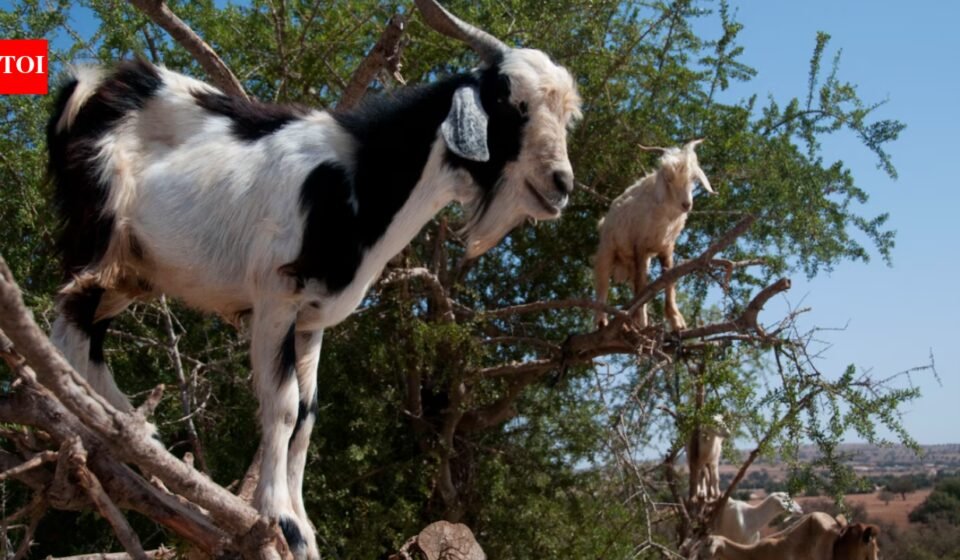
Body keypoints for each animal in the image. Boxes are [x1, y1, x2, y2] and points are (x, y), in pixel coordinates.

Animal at [45, 1, 581, 557]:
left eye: (567, 115)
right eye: (512, 104)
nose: (561, 185)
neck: (361, 179)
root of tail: (90, 87)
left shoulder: (312, 318)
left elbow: (307, 415)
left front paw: (304, 525)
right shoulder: (277, 297)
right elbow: (281, 406)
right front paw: (281, 519)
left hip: (135, 271)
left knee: (86, 333)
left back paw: (137, 435)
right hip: (98, 239)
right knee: (67, 325)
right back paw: (99, 431)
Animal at [593, 139, 713, 329]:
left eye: (693, 178)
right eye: (668, 178)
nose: (686, 204)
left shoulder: (667, 247)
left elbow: (668, 280)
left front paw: (676, 321)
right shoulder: (640, 245)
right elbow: (642, 285)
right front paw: (642, 321)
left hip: (632, 261)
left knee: (633, 284)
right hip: (607, 249)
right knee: (603, 283)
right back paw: (602, 321)